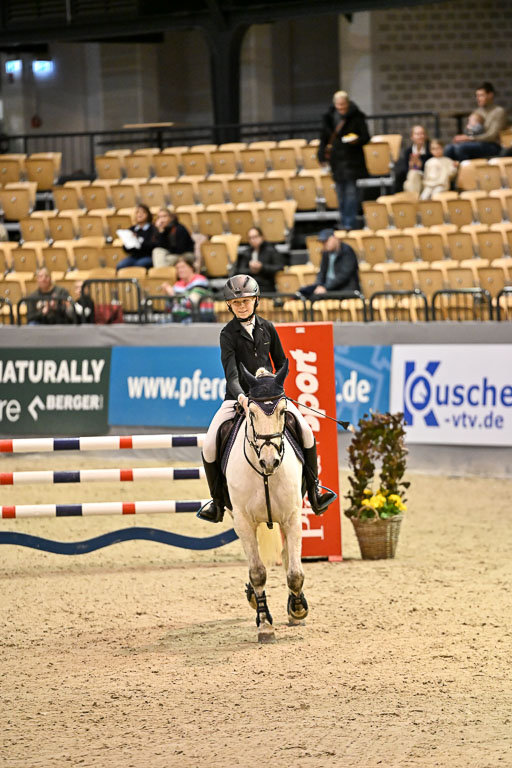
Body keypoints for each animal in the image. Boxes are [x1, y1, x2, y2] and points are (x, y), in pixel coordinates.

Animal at [224, 360, 308, 643]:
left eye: (283, 411)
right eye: (251, 413)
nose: (269, 461)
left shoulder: (292, 517)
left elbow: (294, 573)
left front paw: (297, 609)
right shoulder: (243, 521)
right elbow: (258, 572)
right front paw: (265, 625)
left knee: (287, 558)